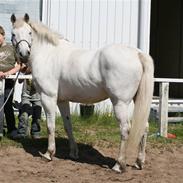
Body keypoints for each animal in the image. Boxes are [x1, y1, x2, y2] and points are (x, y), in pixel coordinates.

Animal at [10, 13, 154, 173]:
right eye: (13, 34)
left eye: (29, 33)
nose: (24, 54)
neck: (48, 54)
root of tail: (137, 54)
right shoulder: (62, 100)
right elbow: (68, 125)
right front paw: (73, 153)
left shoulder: (48, 97)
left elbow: (50, 125)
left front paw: (48, 153)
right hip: (138, 100)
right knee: (144, 127)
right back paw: (139, 162)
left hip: (120, 103)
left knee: (125, 129)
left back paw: (118, 165)